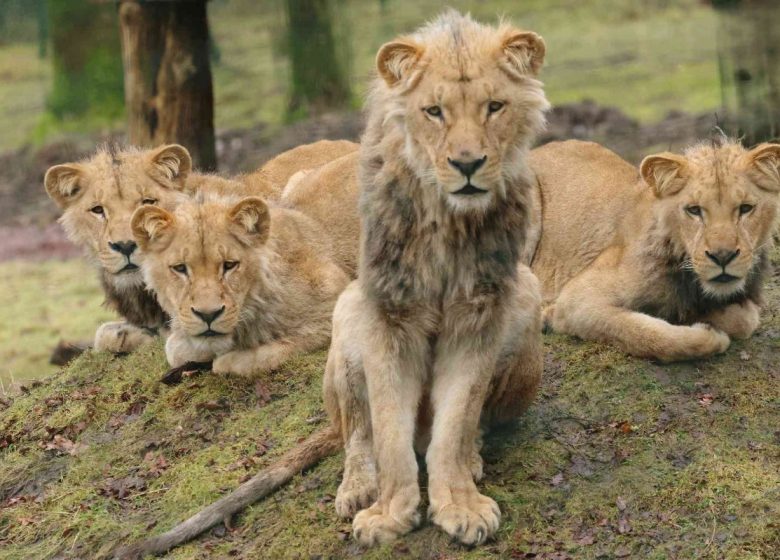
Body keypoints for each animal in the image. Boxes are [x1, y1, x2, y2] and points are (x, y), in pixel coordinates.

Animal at [529, 137, 780, 362]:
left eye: (745, 208)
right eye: (694, 210)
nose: (723, 257)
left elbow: (744, 320)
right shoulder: (578, 300)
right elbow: (644, 334)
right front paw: (712, 337)